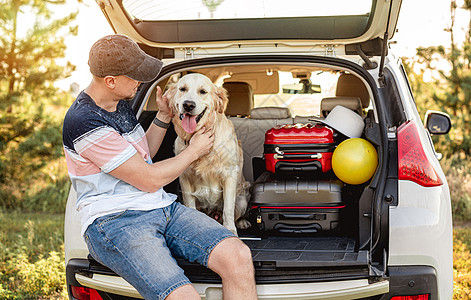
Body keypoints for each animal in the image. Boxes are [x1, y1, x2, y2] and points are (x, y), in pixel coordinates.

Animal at [168, 73, 253, 234]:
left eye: (203, 92)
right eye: (182, 89)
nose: (188, 105)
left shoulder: (230, 174)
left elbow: (228, 209)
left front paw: (231, 230)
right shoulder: (185, 177)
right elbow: (190, 204)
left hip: (243, 198)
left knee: (236, 213)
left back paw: (242, 222)